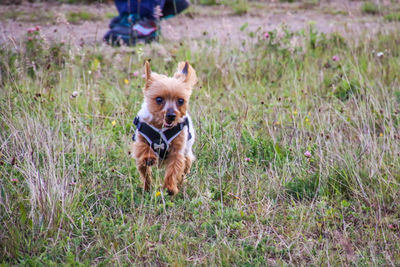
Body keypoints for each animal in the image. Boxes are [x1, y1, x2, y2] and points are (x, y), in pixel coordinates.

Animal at [130, 60, 198, 196]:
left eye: (180, 101)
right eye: (159, 99)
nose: (171, 115)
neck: (160, 127)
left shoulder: (177, 151)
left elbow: (174, 169)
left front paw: (170, 188)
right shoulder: (140, 139)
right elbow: (142, 147)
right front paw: (149, 157)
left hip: (187, 156)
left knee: (184, 169)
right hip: (141, 164)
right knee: (145, 174)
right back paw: (146, 188)